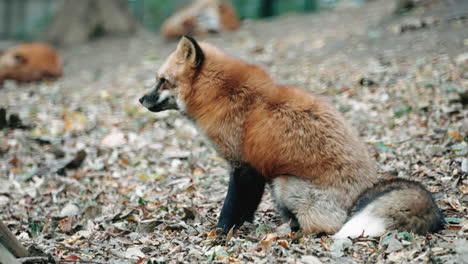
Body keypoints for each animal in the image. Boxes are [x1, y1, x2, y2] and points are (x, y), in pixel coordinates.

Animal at [138, 34, 442, 237]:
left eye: (163, 81)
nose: (140, 99)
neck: (222, 95)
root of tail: (362, 193)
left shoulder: (243, 167)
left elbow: (231, 208)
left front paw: (221, 234)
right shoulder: (256, 171)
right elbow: (246, 208)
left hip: (284, 183)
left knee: (325, 226)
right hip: (277, 183)